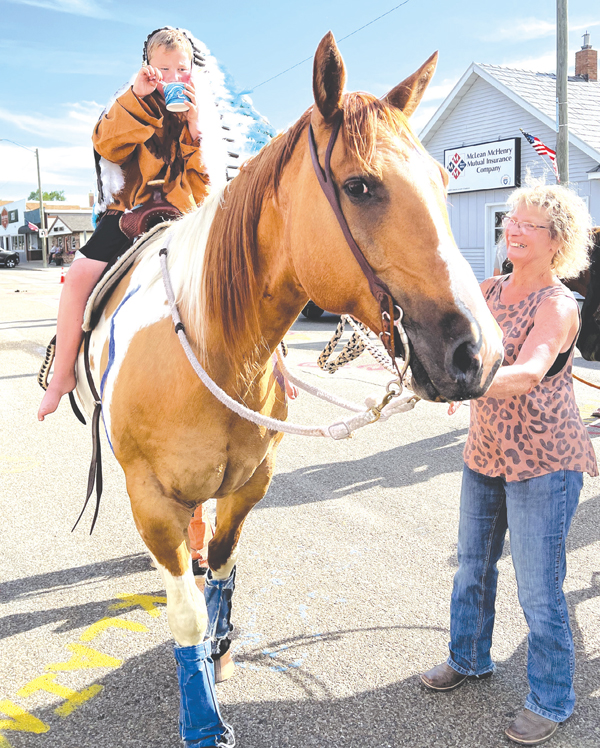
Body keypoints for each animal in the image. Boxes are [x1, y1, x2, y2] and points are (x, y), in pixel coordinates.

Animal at [76, 32, 506, 744]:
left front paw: (221, 643)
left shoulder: (250, 483)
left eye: (446, 183)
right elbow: (184, 613)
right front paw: (202, 716)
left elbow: (223, 567)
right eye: (359, 186)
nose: (482, 353)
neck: (212, 348)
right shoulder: (152, 502)